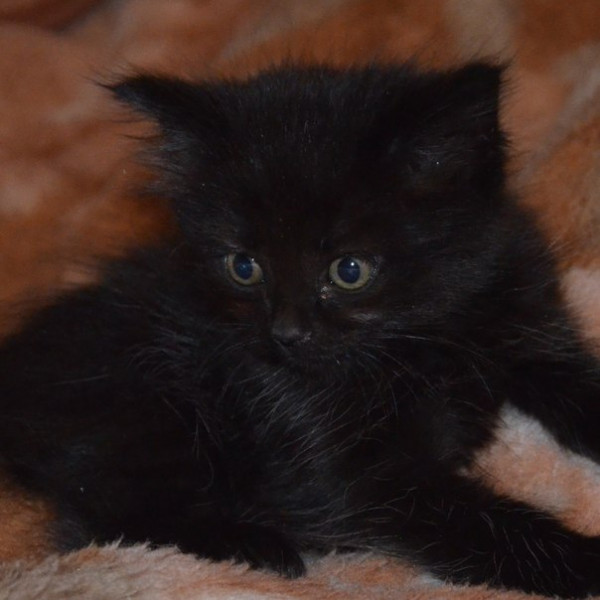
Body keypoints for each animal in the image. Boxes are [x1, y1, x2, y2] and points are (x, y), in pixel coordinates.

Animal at [1, 62, 600, 598]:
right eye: (244, 266)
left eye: (349, 270)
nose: (286, 333)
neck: (423, 337)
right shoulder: (352, 469)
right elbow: (479, 520)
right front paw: (583, 561)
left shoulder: (529, 317)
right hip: (144, 399)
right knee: (100, 515)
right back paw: (253, 544)